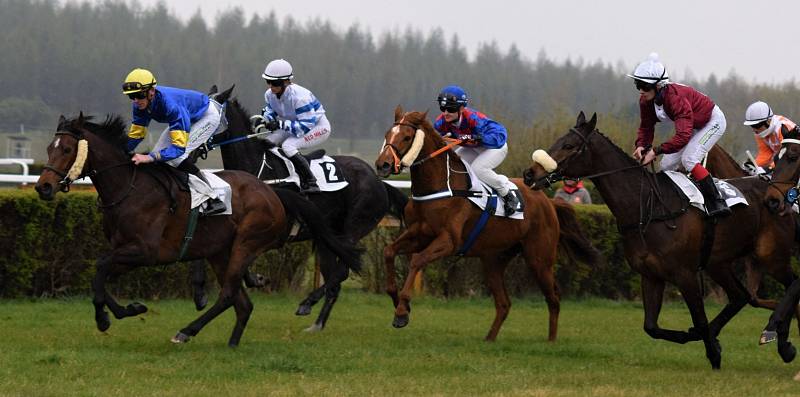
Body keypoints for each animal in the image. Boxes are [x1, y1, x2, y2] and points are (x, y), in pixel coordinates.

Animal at [34, 113, 362, 344]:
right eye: (49, 148)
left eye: (66, 148)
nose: (43, 187)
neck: (129, 188)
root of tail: (272, 191)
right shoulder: (122, 250)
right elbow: (99, 276)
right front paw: (124, 311)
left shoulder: (143, 251)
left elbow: (101, 268)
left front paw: (110, 316)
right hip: (220, 251)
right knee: (243, 303)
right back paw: (231, 343)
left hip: (246, 243)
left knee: (230, 294)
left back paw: (186, 332)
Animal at [188, 90, 406, 332]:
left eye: (209, 118)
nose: (188, 148)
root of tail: (379, 182)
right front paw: (200, 294)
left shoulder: (274, 231)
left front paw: (254, 279)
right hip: (327, 238)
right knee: (334, 280)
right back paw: (317, 324)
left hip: (354, 227)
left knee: (342, 271)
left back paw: (307, 303)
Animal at [372, 106, 596, 340]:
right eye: (387, 134)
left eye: (407, 137)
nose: (383, 164)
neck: (438, 186)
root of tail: (548, 202)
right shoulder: (419, 234)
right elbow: (389, 251)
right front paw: (398, 301)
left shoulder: (448, 241)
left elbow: (417, 260)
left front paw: (401, 311)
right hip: (493, 260)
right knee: (504, 303)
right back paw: (489, 339)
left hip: (539, 259)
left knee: (553, 298)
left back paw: (551, 341)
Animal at [524, 111, 800, 368]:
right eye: (558, 140)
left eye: (569, 145)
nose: (529, 173)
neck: (650, 208)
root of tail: (779, 194)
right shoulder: (651, 275)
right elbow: (651, 327)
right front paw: (708, 342)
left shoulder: (685, 274)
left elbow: (699, 321)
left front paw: (713, 351)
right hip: (718, 263)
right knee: (741, 296)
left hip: (771, 255)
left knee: (792, 284)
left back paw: (777, 336)